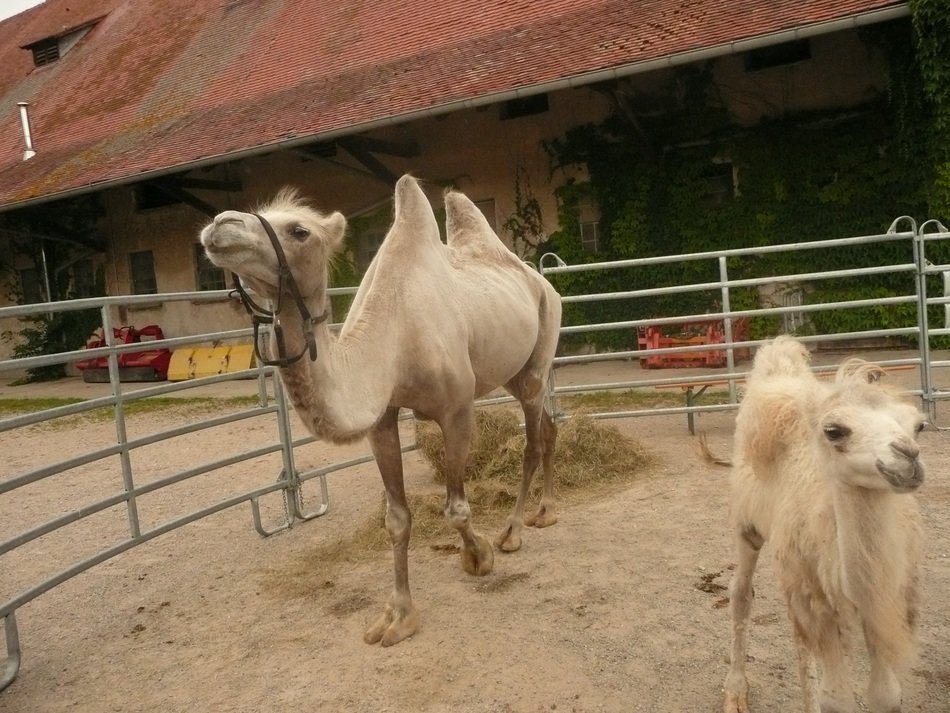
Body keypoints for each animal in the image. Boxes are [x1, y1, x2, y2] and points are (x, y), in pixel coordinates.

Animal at [200, 174, 562, 646]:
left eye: (299, 230)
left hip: (543, 346)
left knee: (532, 443)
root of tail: (540, 279)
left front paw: (479, 556)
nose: (219, 225)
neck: (392, 344)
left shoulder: (457, 409)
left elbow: (455, 508)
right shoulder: (382, 421)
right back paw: (546, 511)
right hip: (515, 372)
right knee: (550, 429)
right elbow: (396, 519)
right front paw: (398, 616)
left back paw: (514, 532)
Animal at [703, 336, 925, 713]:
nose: (908, 457)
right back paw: (735, 693)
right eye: (835, 431)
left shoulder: (887, 605)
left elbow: (885, 693)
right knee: (741, 594)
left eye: (917, 426)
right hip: (747, 526)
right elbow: (837, 698)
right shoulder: (817, 602)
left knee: (796, 637)